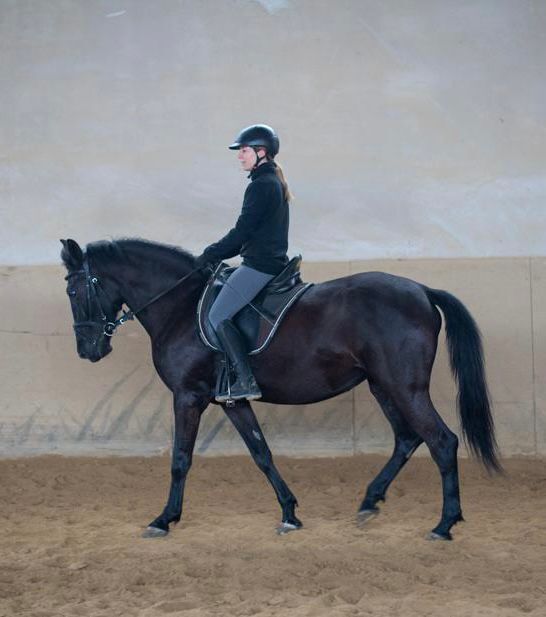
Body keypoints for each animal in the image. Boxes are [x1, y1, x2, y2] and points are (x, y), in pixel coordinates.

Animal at [61, 236, 500, 540]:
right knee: (408, 439)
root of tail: (423, 291)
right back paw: (369, 502)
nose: (88, 350)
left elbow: (180, 459)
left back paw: (444, 524)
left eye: (73, 290)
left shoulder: (187, 396)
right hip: (382, 385)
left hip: (405, 387)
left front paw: (163, 519)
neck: (180, 307)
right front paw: (289, 513)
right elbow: (262, 453)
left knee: (441, 441)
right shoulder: (232, 401)